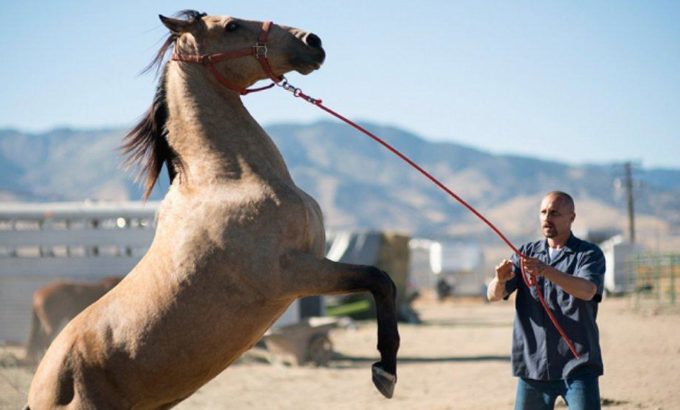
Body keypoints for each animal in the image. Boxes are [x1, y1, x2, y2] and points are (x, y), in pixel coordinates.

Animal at [26, 10, 398, 410]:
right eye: (232, 25)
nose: (312, 41)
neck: (228, 180)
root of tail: (41, 388)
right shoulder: (291, 273)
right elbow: (379, 280)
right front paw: (385, 372)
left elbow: (382, 282)